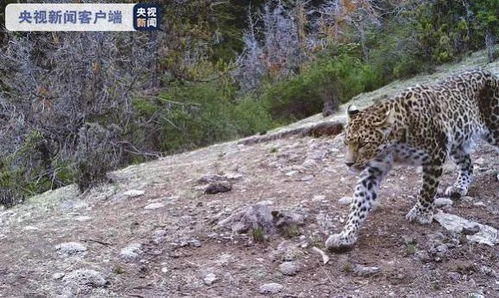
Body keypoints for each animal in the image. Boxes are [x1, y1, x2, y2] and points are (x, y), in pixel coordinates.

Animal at [326, 68, 498, 251]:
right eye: (346, 143)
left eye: (363, 144)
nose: (348, 163)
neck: (394, 143)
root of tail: (487, 71)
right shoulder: (373, 170)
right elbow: (359, 202)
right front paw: (345, 235)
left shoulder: (435, 154)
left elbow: (427, 189)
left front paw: (421, 213)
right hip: (457, 142)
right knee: (468, 165)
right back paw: (459, 187)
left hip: (493, 127)